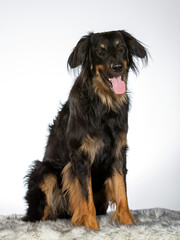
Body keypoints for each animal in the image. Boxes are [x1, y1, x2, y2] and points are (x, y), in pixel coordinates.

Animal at [23, 30, 148, 231]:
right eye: (100, 51)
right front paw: (91, 228)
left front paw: (128, 223)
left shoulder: (118, 154)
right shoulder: (80, 157)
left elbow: (122, 192)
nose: (117, 67)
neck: (104, 104)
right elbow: (86, 198)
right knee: (38, 214)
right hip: (44, 171)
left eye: (121, 47)